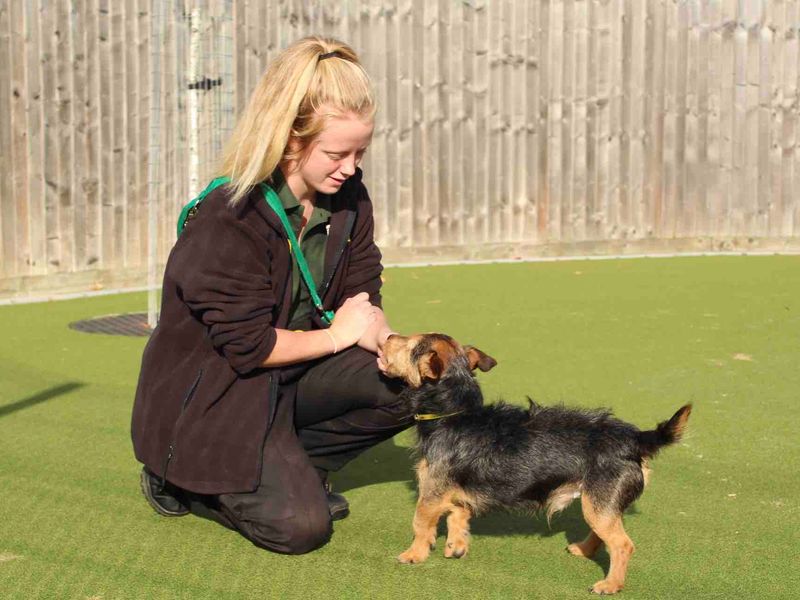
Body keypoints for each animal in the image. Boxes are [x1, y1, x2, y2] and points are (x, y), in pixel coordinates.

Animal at [378, 332, 692, 596]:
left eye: (409, 343)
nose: (389, 335)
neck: (454, 413)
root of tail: (634, 438)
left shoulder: (431, 492)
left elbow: (420, 522)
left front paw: (414, 554)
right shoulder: (456, 490)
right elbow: (458, 514)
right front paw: (456, 546)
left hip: (598, 504)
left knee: (623, 545)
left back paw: (610, 584)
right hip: (599, 505)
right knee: (605, 535)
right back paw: (584, 550)